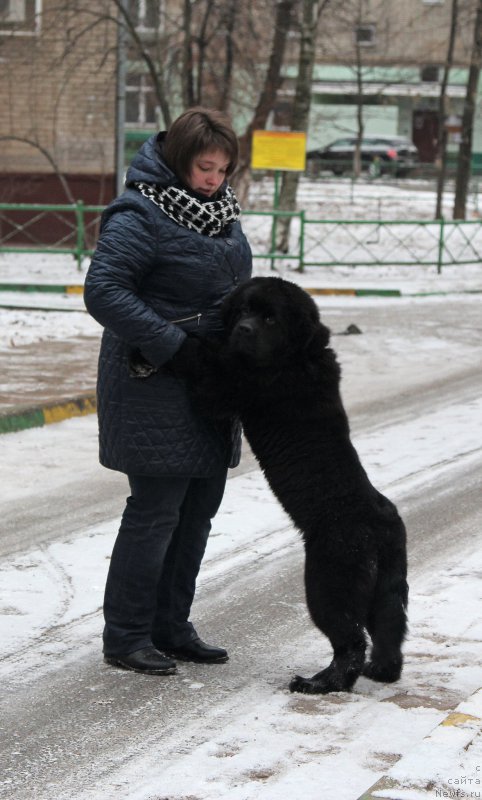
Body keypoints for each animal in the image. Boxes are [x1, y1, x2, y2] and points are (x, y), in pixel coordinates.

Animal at [211, 278, 406, 696]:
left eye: (270, 318)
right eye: (243, 310)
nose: (242, 330)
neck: (301, 355)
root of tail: (380, 526)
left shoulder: (239, 383)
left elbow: (201, 362)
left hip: (328, 582)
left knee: (350, 641)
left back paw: (319, 683)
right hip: (386, 589)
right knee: (389, 633)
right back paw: (382, 671)